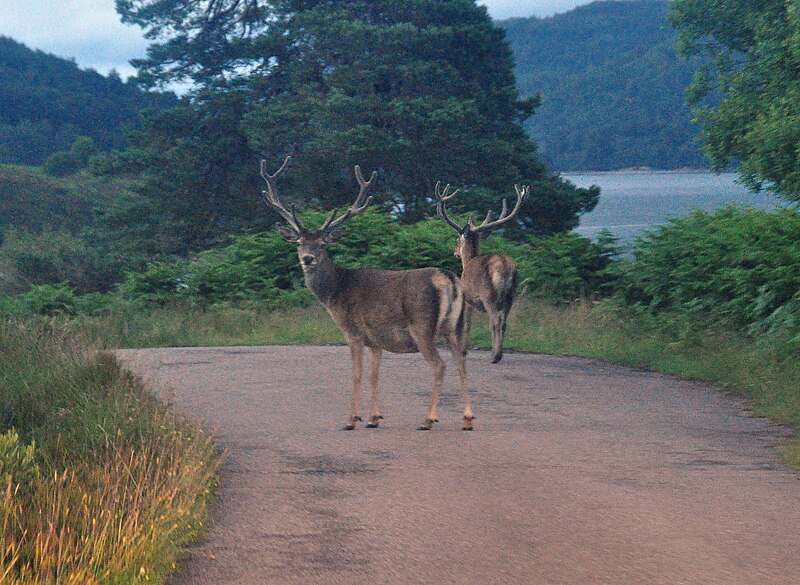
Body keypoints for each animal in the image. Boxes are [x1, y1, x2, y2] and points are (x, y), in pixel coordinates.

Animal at [262, 157, 476, 432]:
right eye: (299, 243)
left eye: (322, 244)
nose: (307, 259)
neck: (336, 290)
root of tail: (448, 278)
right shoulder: (375, 339)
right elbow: (375, 375)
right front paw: (375, 417)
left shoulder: (353, 331)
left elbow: (356, 374)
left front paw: (352, 419)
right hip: (456, 327)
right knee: (462, 361)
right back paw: (467, 419)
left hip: (422, 326)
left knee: (440, 365)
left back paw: (428, 419)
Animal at [434, 185, 528, 362]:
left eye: (458, 240)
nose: (455, 252)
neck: (468, 261)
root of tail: (503, 266)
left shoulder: (467, 297)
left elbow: (467, 324)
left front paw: (463, 350)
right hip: (511, 294)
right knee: (504, 321)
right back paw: (498, 352)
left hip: (488, 294)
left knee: (495, 320)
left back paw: (495, 356)